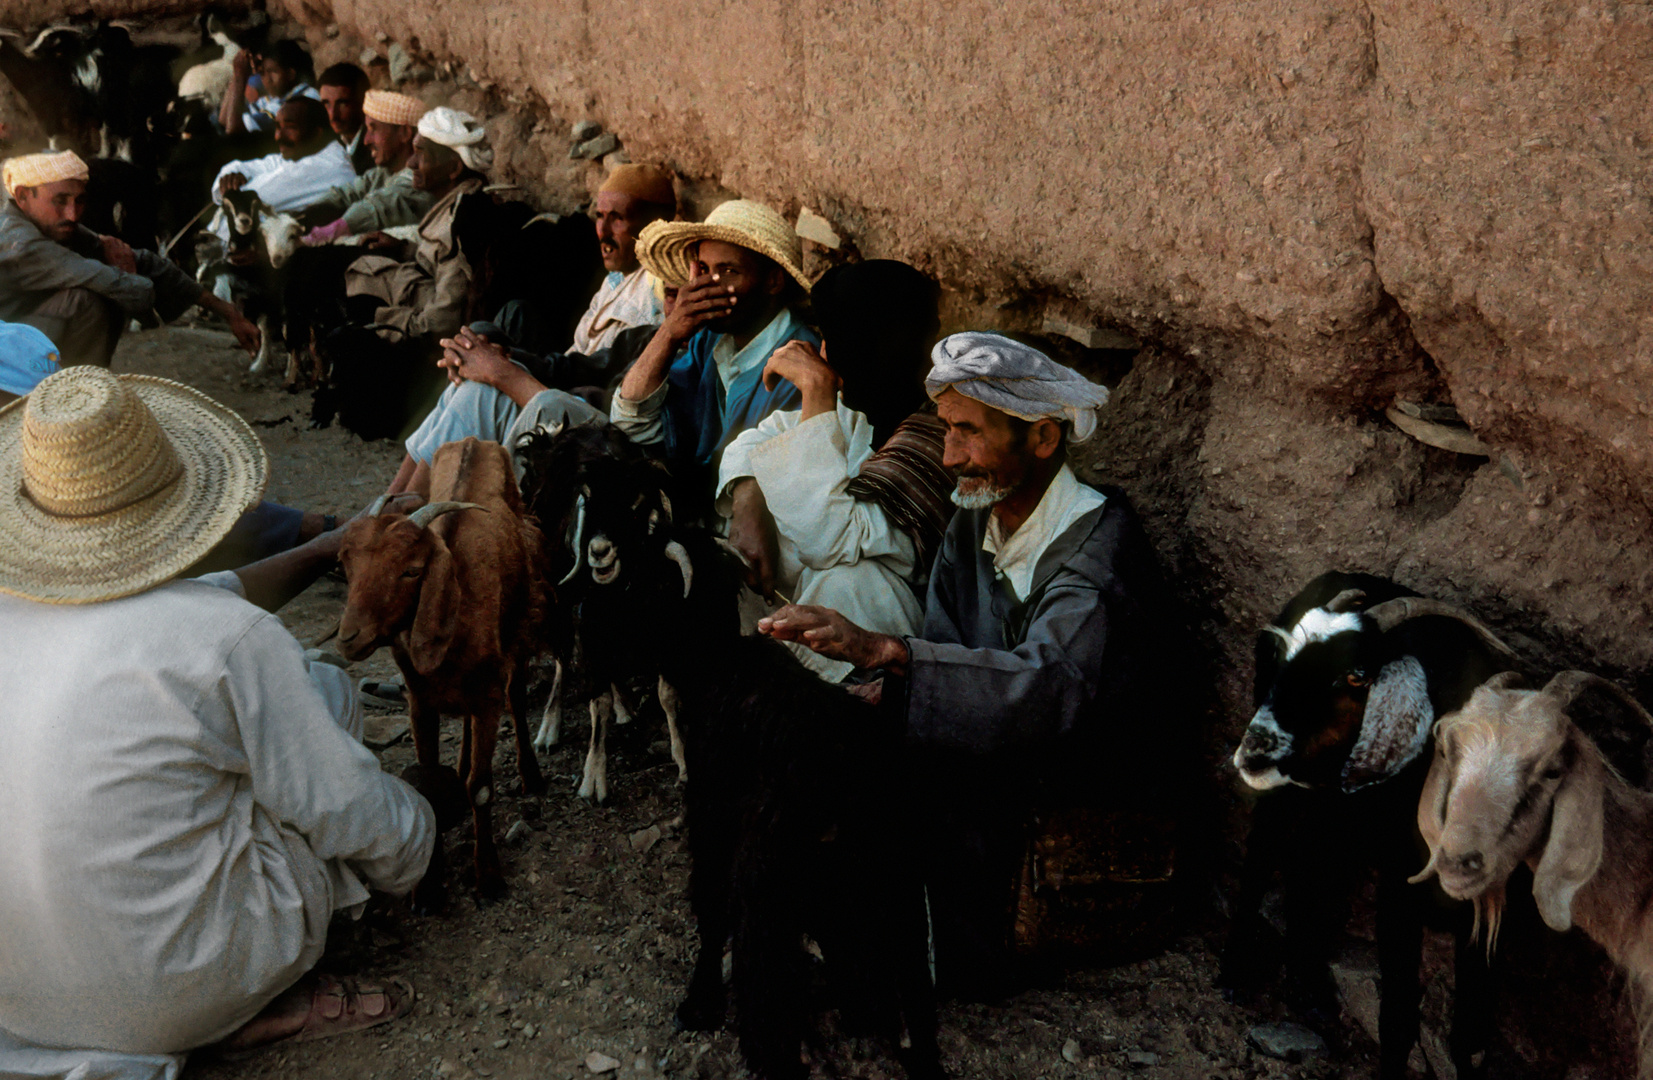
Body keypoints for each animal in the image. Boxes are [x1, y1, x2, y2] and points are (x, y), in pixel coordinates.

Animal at [335, 436, 548, 899]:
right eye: (348, 564)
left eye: (412, 571)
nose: (348, 637)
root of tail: (475, 440)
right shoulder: (420, 700)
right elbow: (430, 787)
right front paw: (428, 889)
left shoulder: (488, 695)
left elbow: (481, 788)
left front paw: (488, 877)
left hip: (520, 627)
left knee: (518, 699)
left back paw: (531, 775)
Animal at [528, 421, 945, 1078]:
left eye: (648, 585)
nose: (591, 581)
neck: (719, 659)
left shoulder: (713, 815)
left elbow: (709, 906)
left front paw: (698, 1003)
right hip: (891, 886)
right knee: (905, 987)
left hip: (774, 885)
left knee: (765, 986)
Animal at [1216, 568, 1520, 1071]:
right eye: (1286, 653)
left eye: (1357, 676)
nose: (1254, 746)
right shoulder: (1399, 882)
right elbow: (1397, 1014)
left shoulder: (1492, 907)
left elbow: (1469, 1034)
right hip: (1290, 791)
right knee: (1264, 852)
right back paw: (1235, 972)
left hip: (1331, 806)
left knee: (1309, 865)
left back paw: (1308, 986)